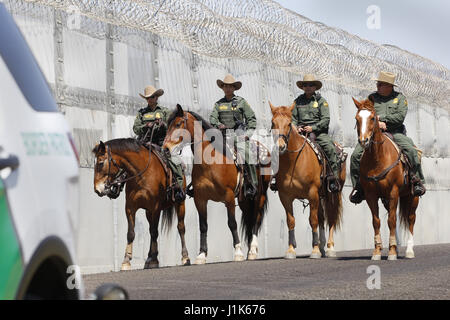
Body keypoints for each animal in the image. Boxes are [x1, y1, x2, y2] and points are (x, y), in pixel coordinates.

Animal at [91, 139, 190, 268]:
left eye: (101, 163)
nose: (97, 189)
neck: (141, 175)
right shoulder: (130, 208)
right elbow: (131, 233)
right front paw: (126, 260)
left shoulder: (155, 208)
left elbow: (155, 232)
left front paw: (154, 260)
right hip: (148, 213)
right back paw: (149, 257)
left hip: (180, 204)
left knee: (180, 228)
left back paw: (185, 257)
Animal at [162, 105, 268, 264]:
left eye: (178, 124)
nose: (165, 148)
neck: (210, 163)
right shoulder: (200, 199)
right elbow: (203, 226)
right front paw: (201, 254)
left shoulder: (228, 197)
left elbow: (232, 223)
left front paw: (238, 252)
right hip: (244, 199)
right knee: (250, 218)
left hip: (259, 195)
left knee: (256, 218)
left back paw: (252, 251)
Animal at [268, 104, 346, 258]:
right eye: (273, 123)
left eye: (288, 123)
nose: (281, 146)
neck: (293, 163)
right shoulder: (285, 196)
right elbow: (291, 221)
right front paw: (291, 250)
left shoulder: (312, 193)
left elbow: (313, 220)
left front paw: (314, 250)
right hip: (321, 196)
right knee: (322, 217)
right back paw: (322, 247)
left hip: (333, 193)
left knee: (331, 217)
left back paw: (329, 248)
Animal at [352, 97, 418, 260]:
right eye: (357, 119)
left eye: (372, 118)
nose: (364, 141)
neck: (378, 158)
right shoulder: (371, 195)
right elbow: (376, 221)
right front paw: (377, 251)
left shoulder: (393, 192)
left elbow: (392, 220)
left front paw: (392, 252)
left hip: (413, 197)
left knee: (411, 219)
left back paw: (409, 251)